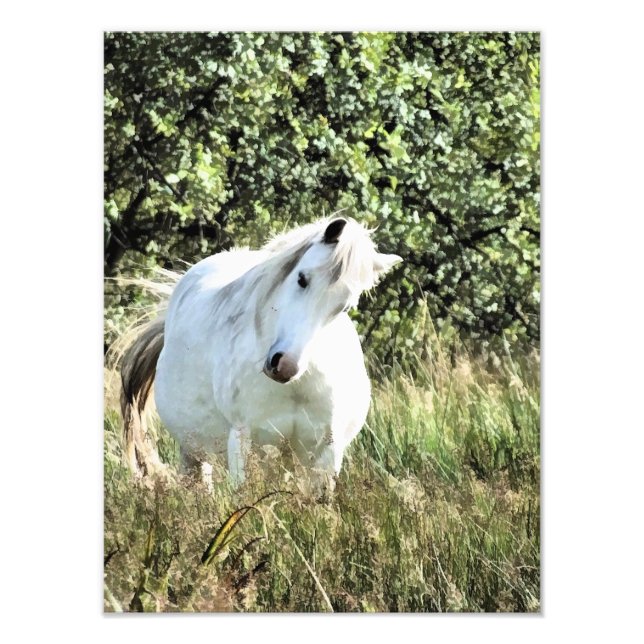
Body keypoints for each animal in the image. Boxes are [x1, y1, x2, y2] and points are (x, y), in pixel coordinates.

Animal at [120, 217, 401, 491]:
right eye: (302, 278)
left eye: (345, 306)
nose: (285, 365)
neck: (297, 387)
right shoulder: (242, 440)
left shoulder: (327, 452)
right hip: (193, 452)